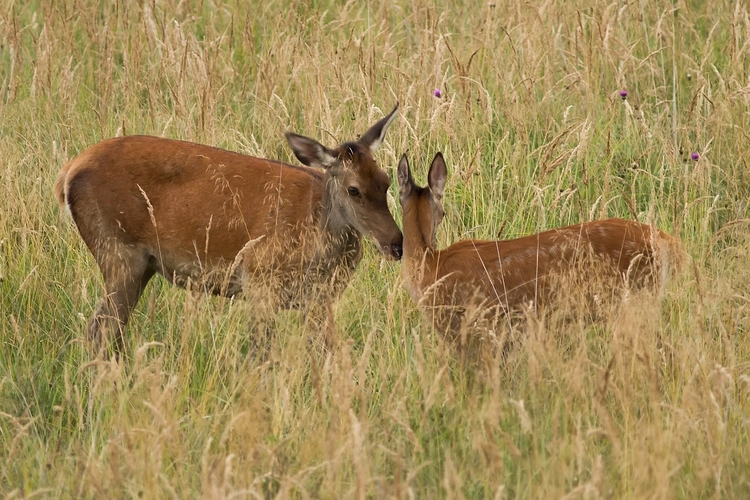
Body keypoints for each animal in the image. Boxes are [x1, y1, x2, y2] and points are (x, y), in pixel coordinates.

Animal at [56, 104, 406, 356]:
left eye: (386, 180)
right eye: (353, 189)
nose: (396, 243)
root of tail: (67, 174)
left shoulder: (319, 299)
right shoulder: (259, 279)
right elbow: (261, 354)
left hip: (140, 265)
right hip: (118, 250)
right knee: (100, 330)